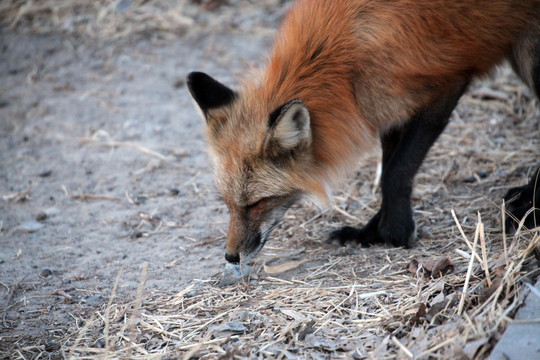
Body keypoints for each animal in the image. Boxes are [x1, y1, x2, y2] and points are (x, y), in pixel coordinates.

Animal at [187, 0, 540, 264]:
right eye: (227, 204)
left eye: (257, 203)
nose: (230, 257)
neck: (340, 56)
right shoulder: (387, 107)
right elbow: (390, 175)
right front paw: (373, 231)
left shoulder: (445, 87)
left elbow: (396, 172)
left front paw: (396, 232)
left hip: (529, 59)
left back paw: (529, 203)